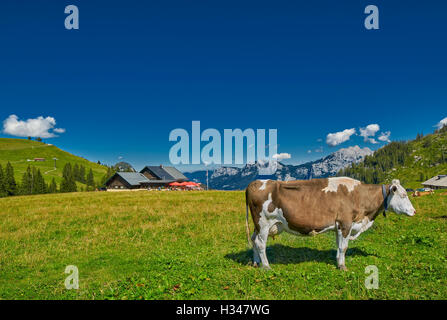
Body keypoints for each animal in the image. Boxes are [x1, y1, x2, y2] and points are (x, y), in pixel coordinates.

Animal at [245, 178, 416, 270]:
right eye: (403, 195)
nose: (414, 211)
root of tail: (255, 182)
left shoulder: (338, 226)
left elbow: (339, 246)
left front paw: (338, 262)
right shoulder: (346, 223)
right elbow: (344, 247)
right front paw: (343, 266)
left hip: (258, 226)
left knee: (253, 240)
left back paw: (256, 262)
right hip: (264, 223)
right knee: (260, 243)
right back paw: (266, 266)